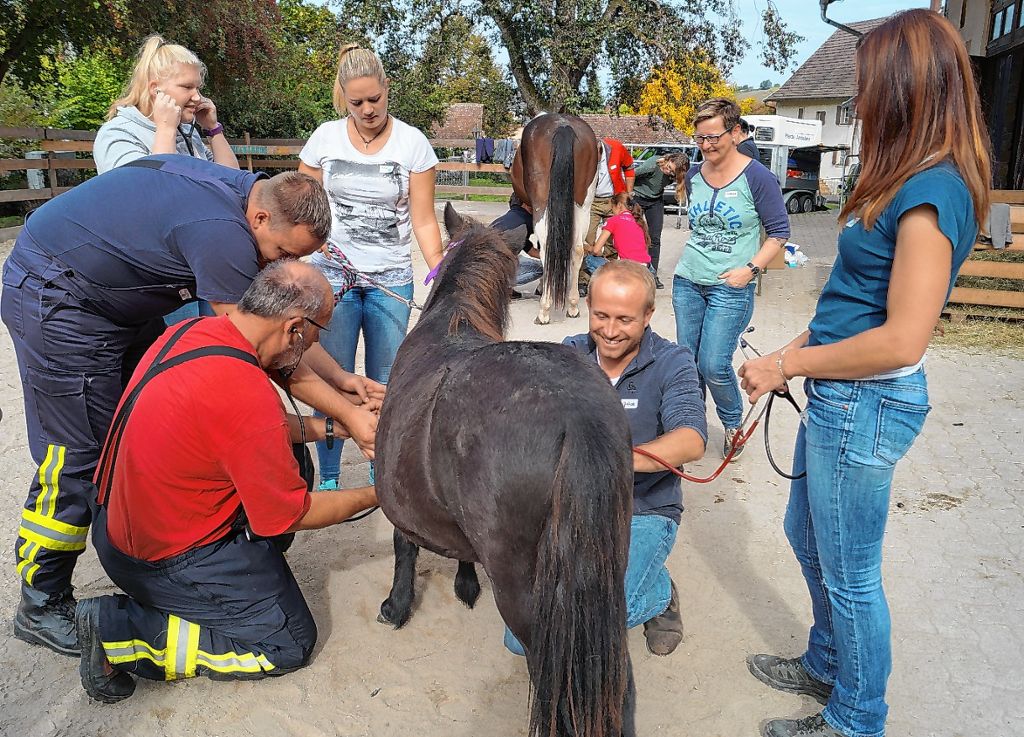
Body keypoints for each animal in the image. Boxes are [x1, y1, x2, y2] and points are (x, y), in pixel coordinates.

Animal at [512, 113, 598, 325]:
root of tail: (563, 126)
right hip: (582, 205)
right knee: (577, 249)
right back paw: (573, 306)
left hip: (542, 204)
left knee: (547, 248)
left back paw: (544, 311)